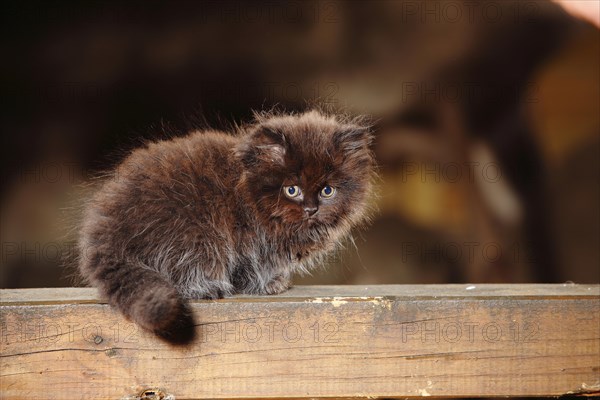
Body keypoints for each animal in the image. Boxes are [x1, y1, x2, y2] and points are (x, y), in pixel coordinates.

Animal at [77, 111, 372, 342]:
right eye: (292, 190)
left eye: (327, 191)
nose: (311, 209)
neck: (248, 188)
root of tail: (106, 235)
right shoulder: (251, 242)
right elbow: (253, 267)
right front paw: (268, 285)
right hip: (195, 234)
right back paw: (206, 288)